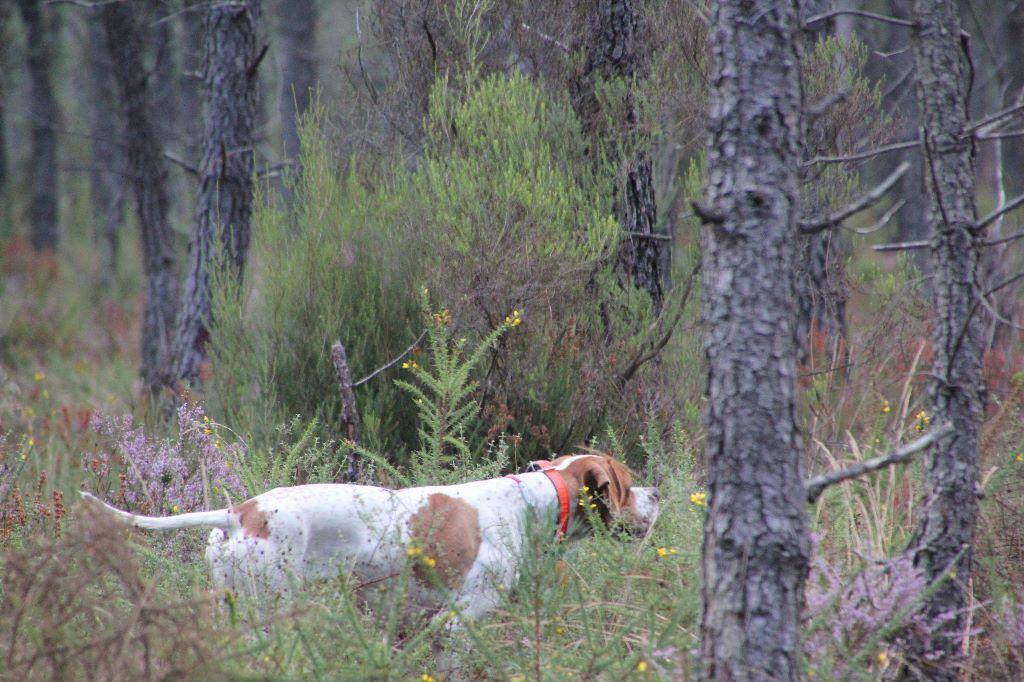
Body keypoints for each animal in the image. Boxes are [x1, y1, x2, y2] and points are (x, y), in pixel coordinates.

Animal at [77, 450, 655, 614]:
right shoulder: (461, 619)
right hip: (271, 608)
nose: (659, 495)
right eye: (628, 485)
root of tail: (240, 512)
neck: (532, 501)